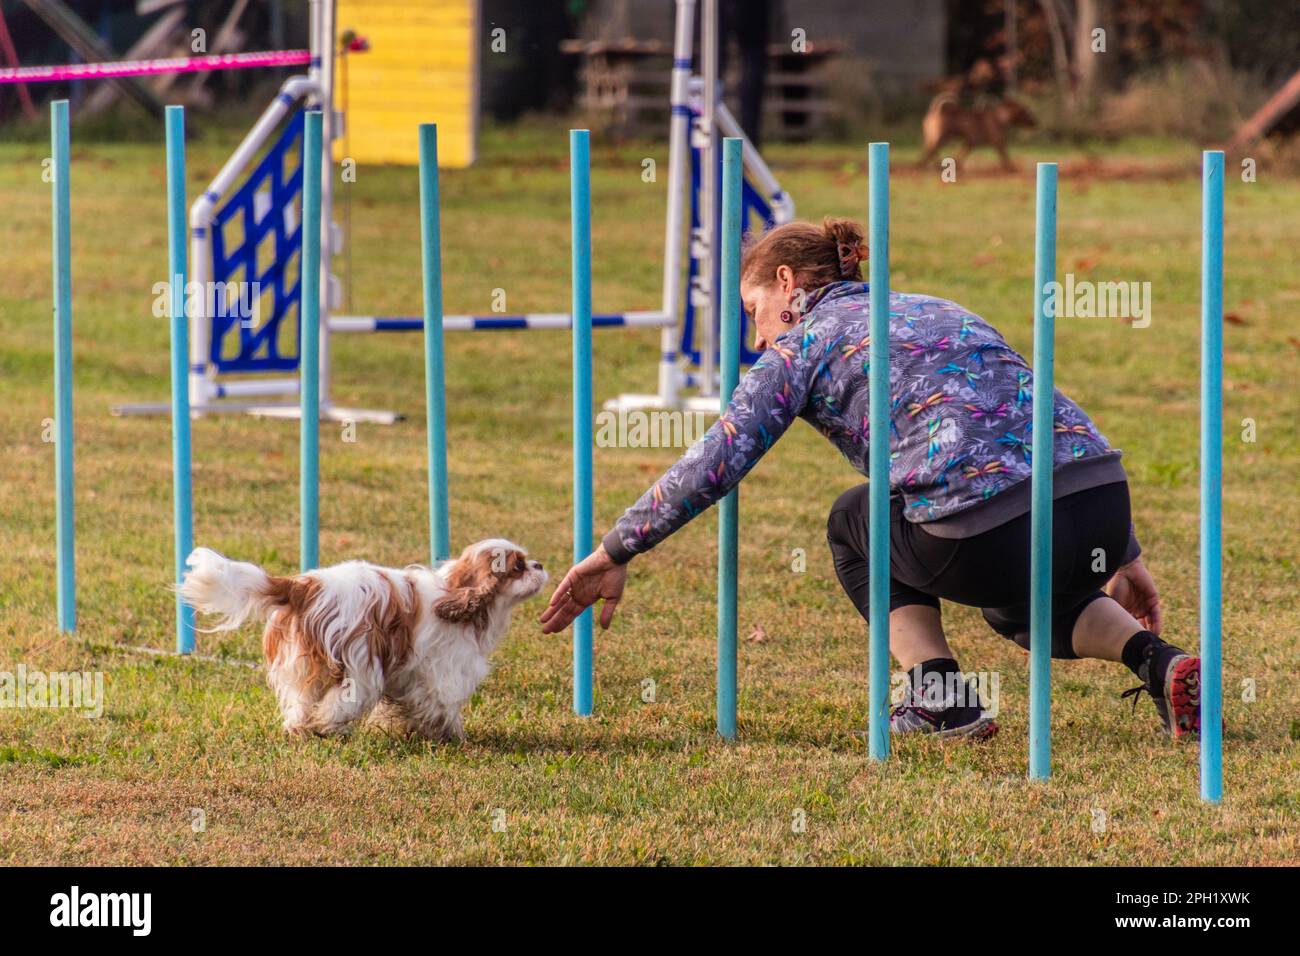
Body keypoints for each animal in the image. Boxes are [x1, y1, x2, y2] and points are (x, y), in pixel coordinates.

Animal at [180, 538, 546, 738]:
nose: (539, 565)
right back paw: (328, 726)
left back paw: (300, 727)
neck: (456, 597)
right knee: (340, 701)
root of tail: (304, 586)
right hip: (360, 663)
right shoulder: (444, 671)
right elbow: (443, 705)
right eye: (518, 567)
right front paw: (451, 734)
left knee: (301, 701)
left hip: (302, 663)